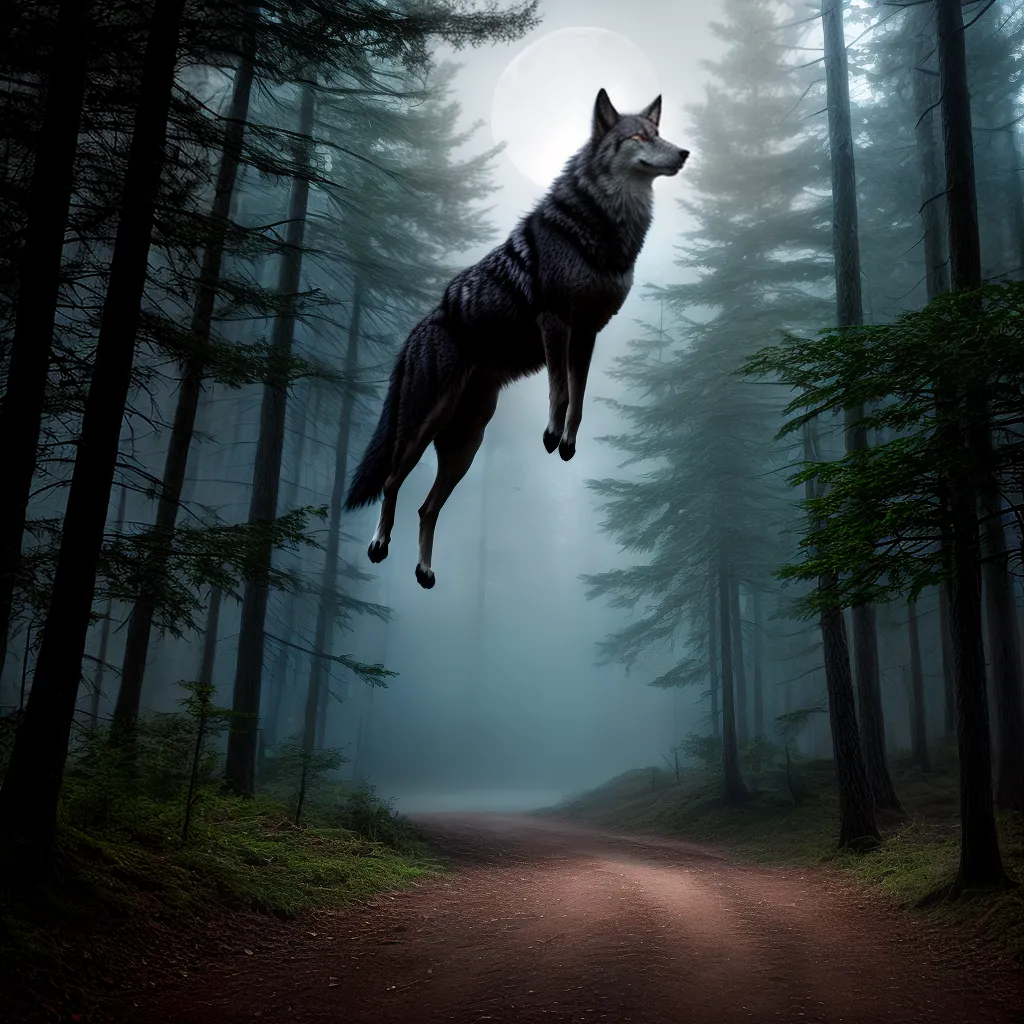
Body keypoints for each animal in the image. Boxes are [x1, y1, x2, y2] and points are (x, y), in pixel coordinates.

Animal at [344, 88, 688, 589]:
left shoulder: (587, 333)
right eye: (639, 137)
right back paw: (378, 546)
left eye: (659, 134)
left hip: (466, 445)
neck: (605, 225)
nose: (684, 153)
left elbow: (579, 400)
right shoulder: (555, 322)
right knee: (391, 483)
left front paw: (567, 445)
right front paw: (549, 435)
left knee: (428, 508)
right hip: (423, 427)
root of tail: (413, 335)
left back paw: (424, 571)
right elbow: (560, 391)